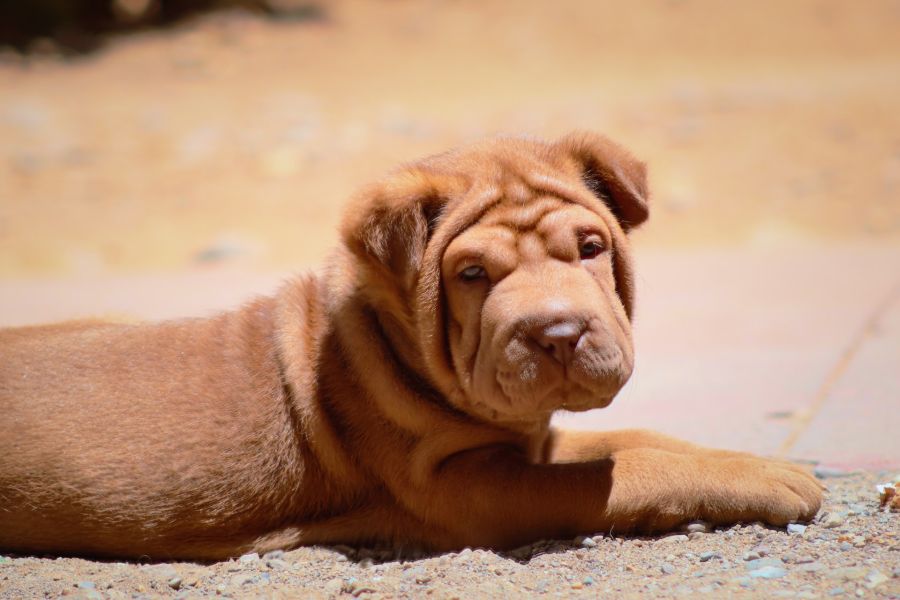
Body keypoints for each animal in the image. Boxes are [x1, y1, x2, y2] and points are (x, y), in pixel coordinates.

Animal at [0, 134, 824, 560]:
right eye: (472, 274)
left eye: (591, 248)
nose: (558, 332)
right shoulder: (472, 489)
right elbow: (623, 471)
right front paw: (767, 478)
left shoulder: (528, 441)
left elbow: (637, 439)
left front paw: (757, 461)